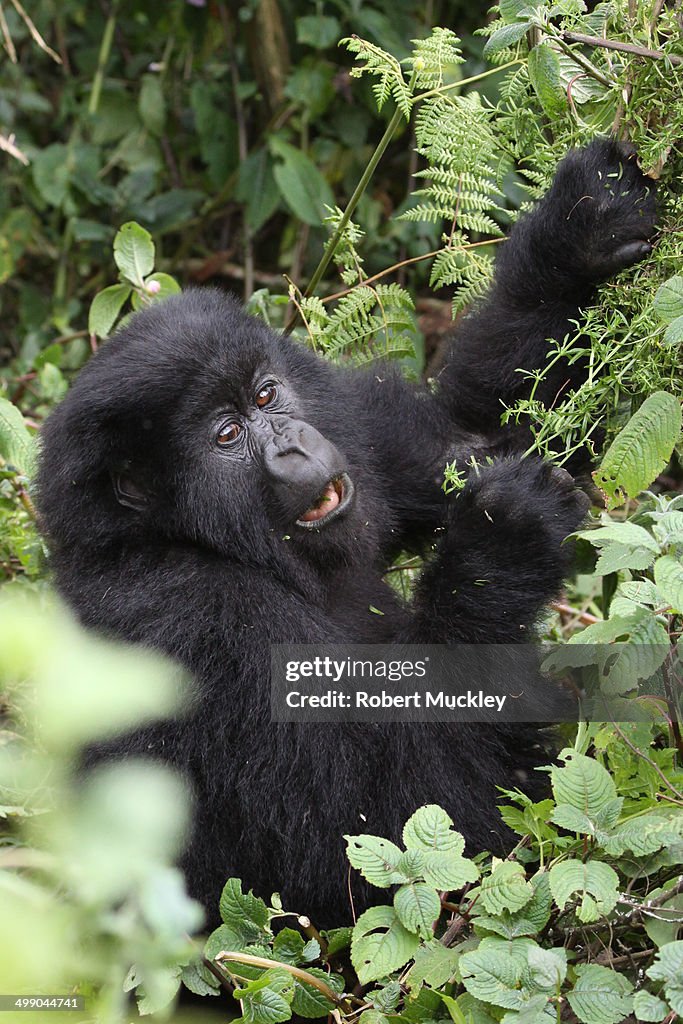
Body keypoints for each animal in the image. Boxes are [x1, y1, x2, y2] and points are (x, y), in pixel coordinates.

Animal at [37, 136, 655, 921]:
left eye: (267, 394)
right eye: (226, 434)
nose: (295, 447)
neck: (172, 536)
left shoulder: (352, 420)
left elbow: (475, 438)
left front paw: (580, 230)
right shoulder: (196, 623)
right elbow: (384, 828)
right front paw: (501, 545)